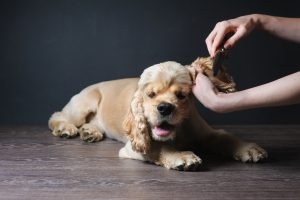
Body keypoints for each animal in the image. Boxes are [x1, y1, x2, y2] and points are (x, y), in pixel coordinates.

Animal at [49, 57, 268, 170]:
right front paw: (183, 157)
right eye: (151, 95)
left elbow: (225, 136)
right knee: (57, 116)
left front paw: (249, 149)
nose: (164, 108)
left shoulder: (207, 133)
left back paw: (90, 132)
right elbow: (159, 147)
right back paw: (66, 129)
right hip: (85, 103)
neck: (178, 131)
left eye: (181, 95)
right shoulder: (134, 146)